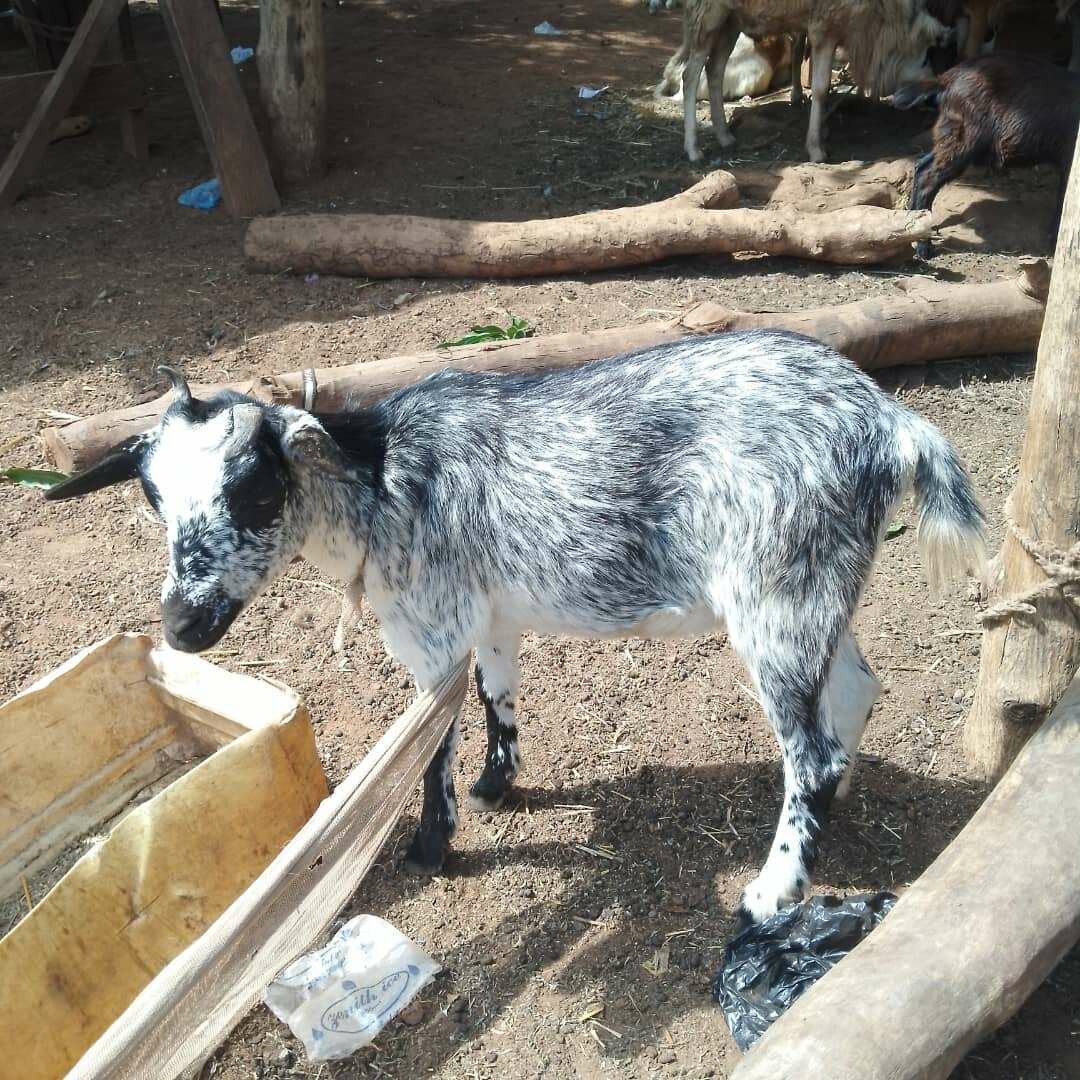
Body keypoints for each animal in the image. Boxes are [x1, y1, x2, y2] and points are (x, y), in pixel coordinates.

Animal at [45, 332, 985, 926]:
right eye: (152, 498)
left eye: (255, 489)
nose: (182, 623)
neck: (377, 483)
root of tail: (888, 421)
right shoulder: (487, 615)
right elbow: (498, 695)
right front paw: (499, 786)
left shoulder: (430, 630)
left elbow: (430, 741)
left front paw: (432, 844)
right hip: (825, 588)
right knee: (855, 692)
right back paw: (837, 806)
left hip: (776, 596)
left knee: (810, 745)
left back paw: (774, 889)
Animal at [667, 0, 946, 162]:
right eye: (925, 58)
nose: (936, 86)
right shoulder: (824, 26)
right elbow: (821, 89)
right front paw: (816, 149)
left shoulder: (833, 28)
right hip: (707, 14)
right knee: (690, 76)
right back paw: (693, 149)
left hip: (731, 19)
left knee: (715, 70)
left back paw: (725, 136)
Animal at [894, 52, 1080, 258]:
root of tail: (945, 80)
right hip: (964, 140)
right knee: (928, 179)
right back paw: (923, 247)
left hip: (953, 139)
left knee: (921, 166)